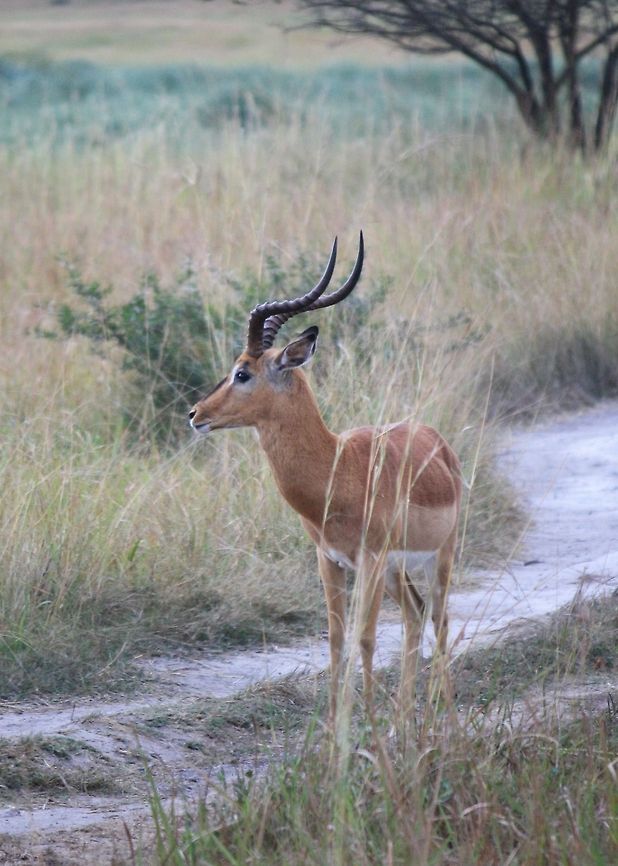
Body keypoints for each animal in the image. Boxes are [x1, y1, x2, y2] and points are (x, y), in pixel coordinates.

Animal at [189, 233, 462, 719]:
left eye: (243, 372)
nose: (195, 414)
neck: (338, 467)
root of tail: (438, 442)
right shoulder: (330, 560)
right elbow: (336, 642)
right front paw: (338, 727)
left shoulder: (369, 561)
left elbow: (365, 638)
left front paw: (366, 728)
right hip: (396, 572)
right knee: (415, 615)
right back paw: (404, 719)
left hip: (439, 557)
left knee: (440, 618)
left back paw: (441, 718)